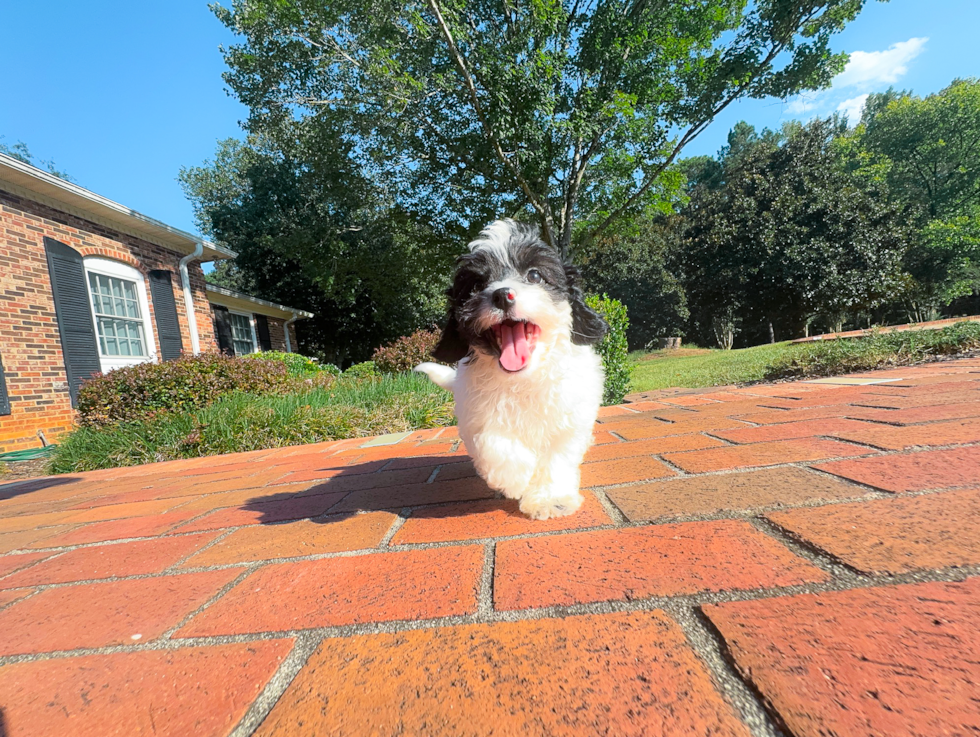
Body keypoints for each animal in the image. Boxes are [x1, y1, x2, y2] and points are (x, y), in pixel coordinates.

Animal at [416, 218, 612, 516]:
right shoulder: (476, 415)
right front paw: (515, 479)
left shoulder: (569, 420)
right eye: (476, 284)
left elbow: (556, 459)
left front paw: (549, 499)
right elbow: (495, 443)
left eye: (534, 276)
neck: (523, 379)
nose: (502, 295)